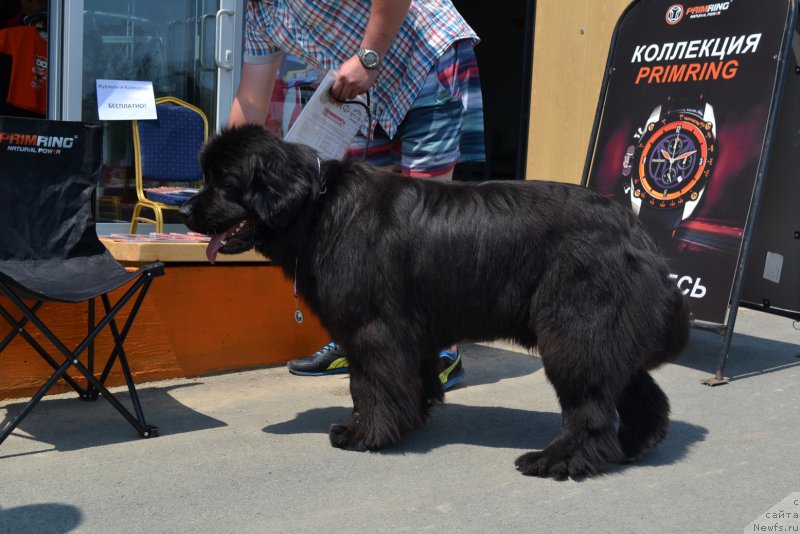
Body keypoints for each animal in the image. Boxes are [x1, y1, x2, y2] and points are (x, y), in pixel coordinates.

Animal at [180, 125, 688, 482]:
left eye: (225, 182)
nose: (184, 211)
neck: (317, 208)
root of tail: (635, 231)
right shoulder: (412, 330)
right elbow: (411, 379)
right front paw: (410, 420)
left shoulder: (373, 329)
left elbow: (368, 386)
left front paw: (364, 435)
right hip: (602, 334)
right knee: (635, 389)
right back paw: (636, 443)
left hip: (575, 331)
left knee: (591, 407)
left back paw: (559, 460)